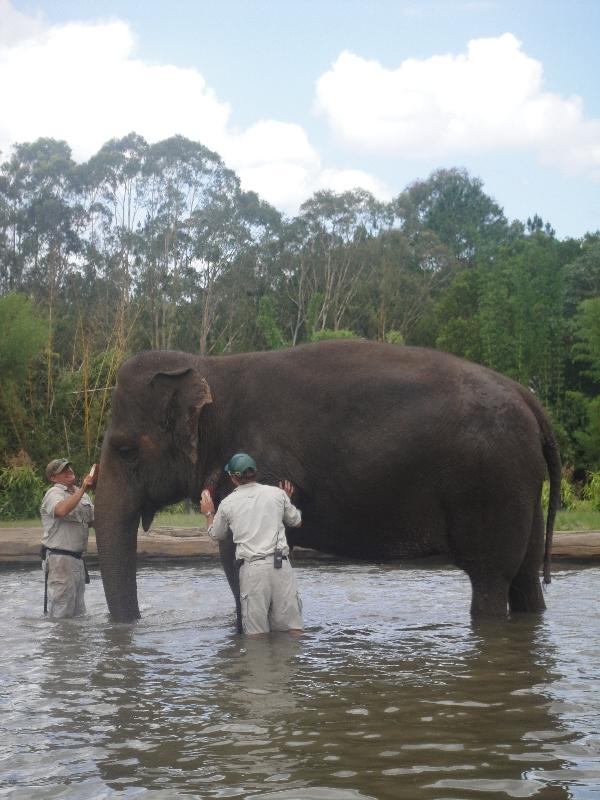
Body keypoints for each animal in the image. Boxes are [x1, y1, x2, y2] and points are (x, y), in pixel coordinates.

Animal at [94, 338, 564, 624]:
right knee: (524, 577)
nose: (137, 622)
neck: (208, 367)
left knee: (489, 575)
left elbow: (233, 561)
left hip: (487, 484)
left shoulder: (257, 465)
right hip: (520, 483)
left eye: (125, 450)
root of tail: (529, 399)